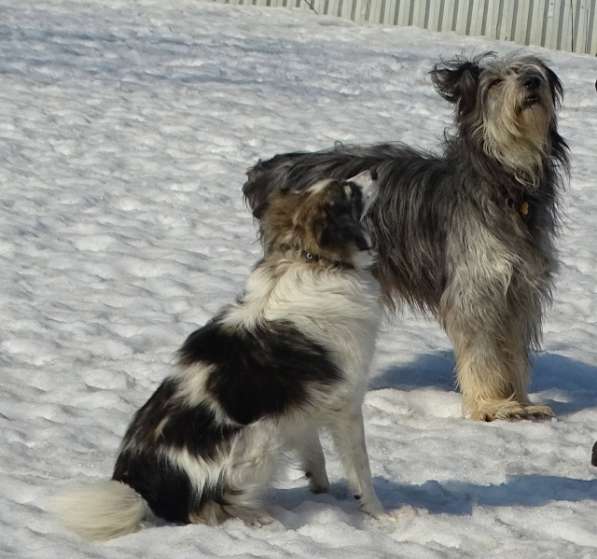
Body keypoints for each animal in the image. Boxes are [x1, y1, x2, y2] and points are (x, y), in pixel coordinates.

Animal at [53, 176, 384, 544]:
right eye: (349, 191)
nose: (372, 174)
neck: (311, 260)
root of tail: (142, 489)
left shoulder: (303, 404)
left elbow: (313, 450)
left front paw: (321, 487)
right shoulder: (347, 403)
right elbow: (361, 470)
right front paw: (381, 517)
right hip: (259, 437)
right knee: (210, 507)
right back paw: (263, 521)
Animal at [241, 52, 568, 422]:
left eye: (532, 70)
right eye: (497, 82)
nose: (531, 82)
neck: (509, 187)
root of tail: (274, 170)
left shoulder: (520, 292)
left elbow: (513, 353)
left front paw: (522, 403)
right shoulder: (477, 290)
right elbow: (482, 354)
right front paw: (491, 405)